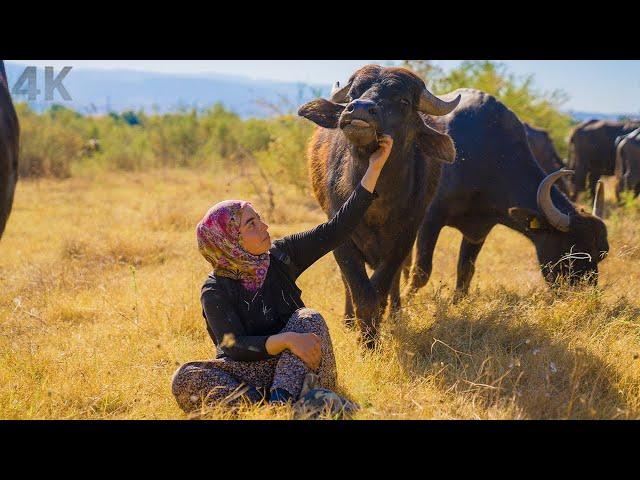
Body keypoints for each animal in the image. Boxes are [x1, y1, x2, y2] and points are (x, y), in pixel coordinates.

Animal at [298, 65, 462, 346]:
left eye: (403, 101)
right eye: (353, 93)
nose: (360, 109)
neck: (376, 206)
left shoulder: (405, 238)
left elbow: (382, 287)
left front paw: (375, 333)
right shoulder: (339, 238)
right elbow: (360, 291)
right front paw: (366, 341)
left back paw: (396, 313)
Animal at [404, 88, 608, 298]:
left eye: (602, 254)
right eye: (572, 253)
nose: (586, 293)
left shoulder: (479, 229)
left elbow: (465, 272)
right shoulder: (431, 219)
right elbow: (421, 271)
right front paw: (404, 300)